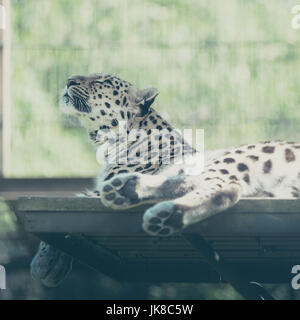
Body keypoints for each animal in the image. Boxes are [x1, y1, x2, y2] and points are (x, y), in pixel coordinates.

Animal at [29, 72, 300, 288]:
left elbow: (73, 199)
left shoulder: (95, 191)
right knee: (222, 189)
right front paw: (51, 264)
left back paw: (145, 202)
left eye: (102, 81)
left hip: (238, 154)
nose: (68, 81)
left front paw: (43, 261)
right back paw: (153, 207)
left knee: (224, 185)